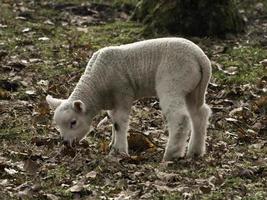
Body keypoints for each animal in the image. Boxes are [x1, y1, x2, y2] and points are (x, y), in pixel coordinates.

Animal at [47, 37, 213, 162]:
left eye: (73, 122)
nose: (65, 143)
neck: (96, 85)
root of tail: (201, 58)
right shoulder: (113, 101)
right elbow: (112, 120)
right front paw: (112, 144)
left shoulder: (122, 94)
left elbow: (120, 123)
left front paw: (118, 151)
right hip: (193, 89)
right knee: (200, 113)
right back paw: (195, 152)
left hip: (173, 82)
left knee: (180, 117)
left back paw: (172, 153)